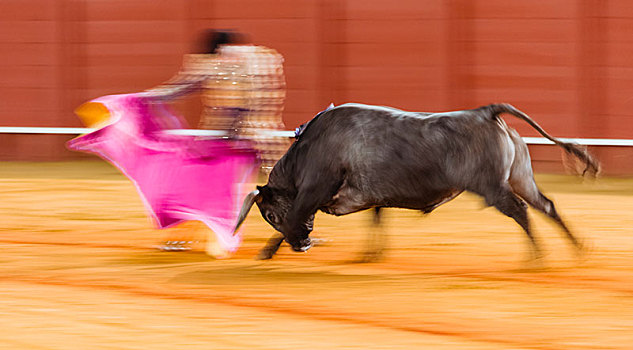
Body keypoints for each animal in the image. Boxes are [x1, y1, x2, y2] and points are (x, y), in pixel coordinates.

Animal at [231, 102, 596, 258]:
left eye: (269, 214)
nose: (305, 243)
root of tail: (484, 112)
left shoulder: (315, 190)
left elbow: (297, 215)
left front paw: (269, 250)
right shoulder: (369, 196)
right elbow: (377, 219)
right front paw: (371, 255)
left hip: (493, 188)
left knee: (521, 211)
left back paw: (537, 257)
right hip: (520, 177)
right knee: (546, 205)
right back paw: (577, 249)